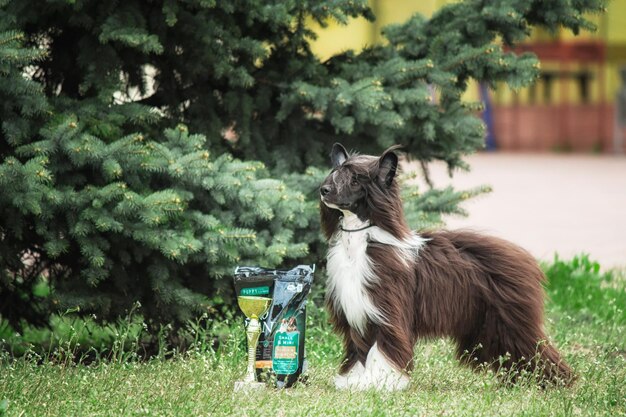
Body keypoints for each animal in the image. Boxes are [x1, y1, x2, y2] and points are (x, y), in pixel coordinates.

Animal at [320, 144, 572, 390]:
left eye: (355, 180)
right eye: (335, 173)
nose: (323, 190)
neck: (359, 245)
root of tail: (524, 258)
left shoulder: (387, 312)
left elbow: (383, 349)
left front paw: (382, 382)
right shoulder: (357, 314)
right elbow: (359, 351)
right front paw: (354, 381)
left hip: (512, 321)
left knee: (536, 350)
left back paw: (554, 382)